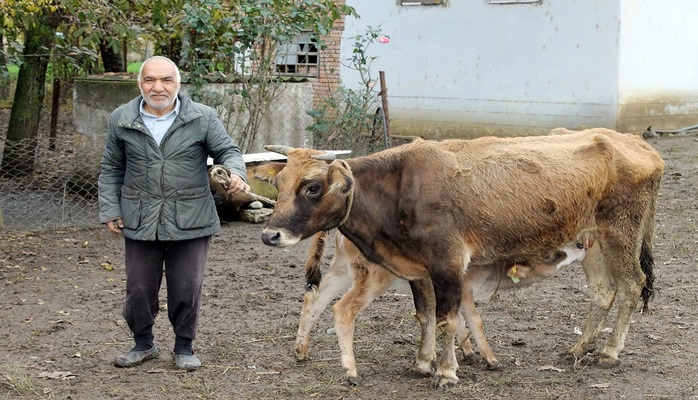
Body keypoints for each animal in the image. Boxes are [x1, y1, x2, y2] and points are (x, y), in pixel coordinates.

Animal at [294, 230, 588, 382]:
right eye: (550, 252)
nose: (582, 243)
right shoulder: (464, 289)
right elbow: (473, 321)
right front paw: (490, 359)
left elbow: (453, 322)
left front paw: (466, 352)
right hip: (374, 278)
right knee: (342, 310)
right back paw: (351, 371)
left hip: (343, 271)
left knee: (313, 300)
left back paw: (301, 351)